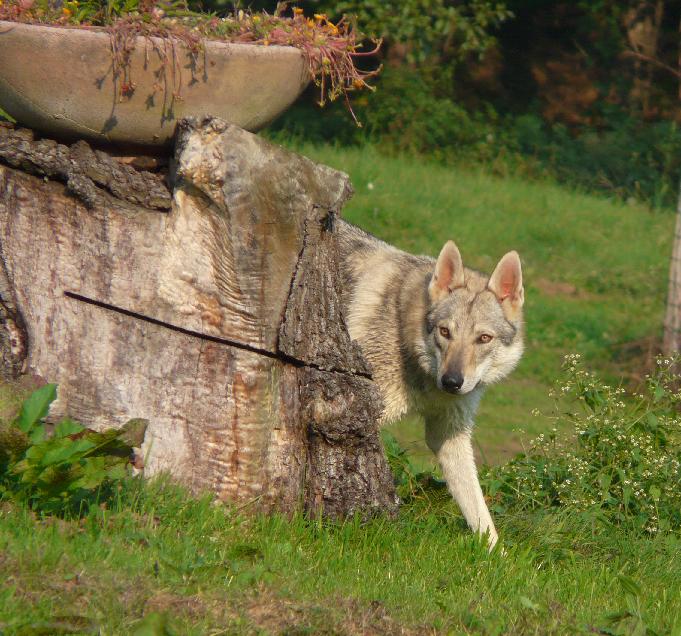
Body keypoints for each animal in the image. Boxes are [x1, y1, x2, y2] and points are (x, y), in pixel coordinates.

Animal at [336, 220, 525, 548]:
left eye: (483, 338)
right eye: (445, 332)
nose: (451, 382)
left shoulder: (449, 435)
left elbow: (481, 514)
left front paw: (495, 556)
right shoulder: (363, 415)